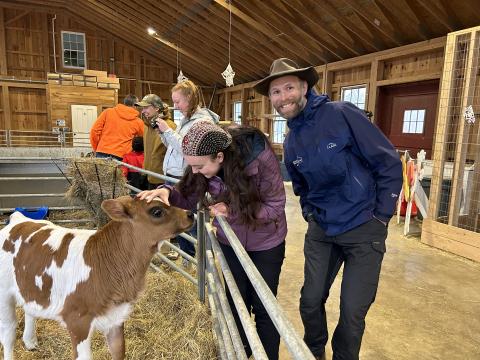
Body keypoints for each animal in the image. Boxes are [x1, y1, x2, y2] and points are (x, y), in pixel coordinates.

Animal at [0, 197, 195, 360]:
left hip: (31, 286)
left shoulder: (116, 317)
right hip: (4, 296)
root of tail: (19, 220)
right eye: (156, 211)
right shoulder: (77, 322)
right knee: (8, 334)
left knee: (29, 308)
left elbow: (118, 351)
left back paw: (30, 341)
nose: (190, 214)